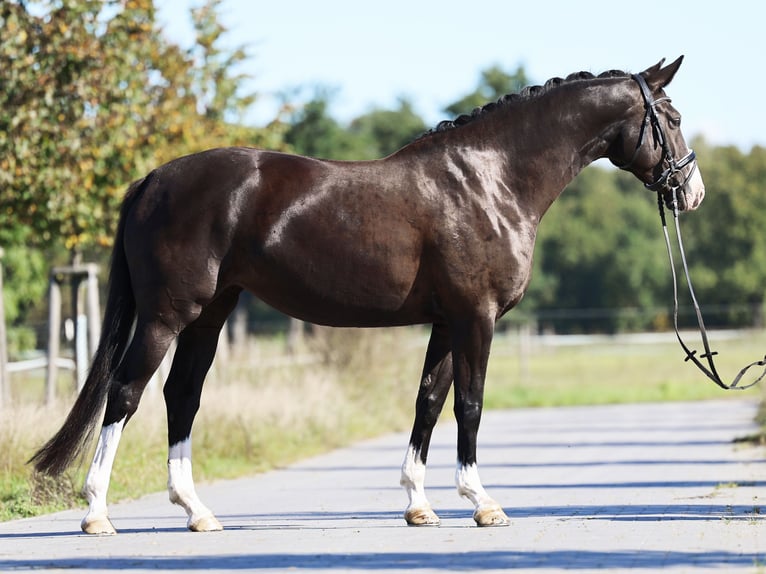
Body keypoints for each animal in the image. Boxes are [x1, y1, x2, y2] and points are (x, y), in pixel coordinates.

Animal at [31, 56, 704, 534]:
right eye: (670, 118)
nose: (691, 192)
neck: (489, 179)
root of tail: (152, 179)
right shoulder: (476, 319)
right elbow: (470, 406)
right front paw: (482, 503)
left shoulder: (447, 322)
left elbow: (428, 403)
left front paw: (419, 506)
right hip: (168, 315)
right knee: (125, 393)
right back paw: (96, 514)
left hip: (209, 315)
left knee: (181, 397)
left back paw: (197, 511)